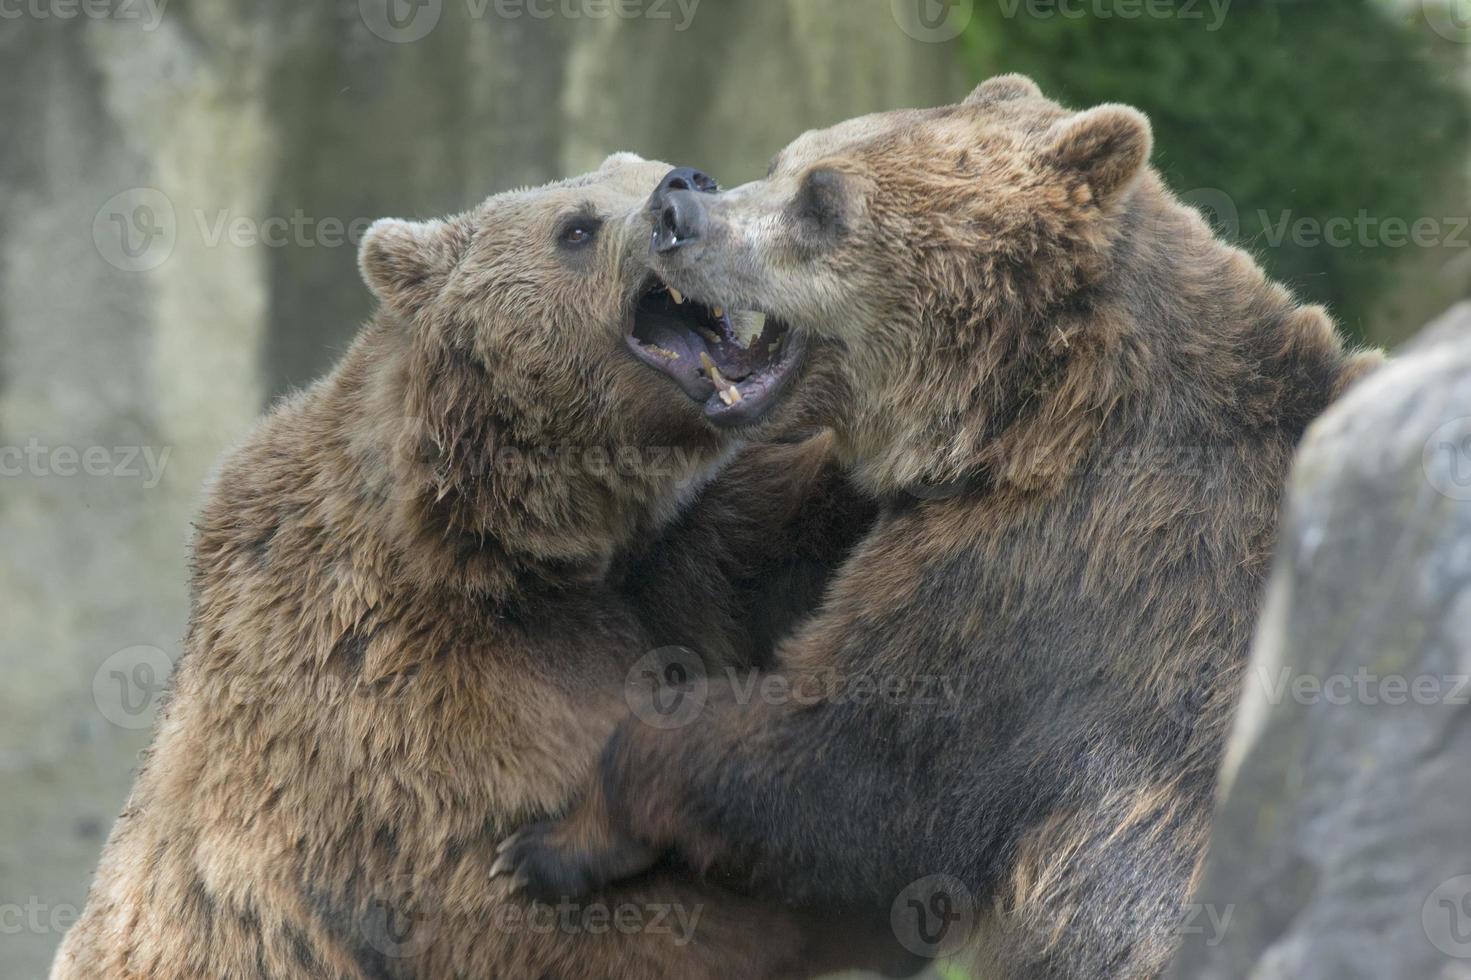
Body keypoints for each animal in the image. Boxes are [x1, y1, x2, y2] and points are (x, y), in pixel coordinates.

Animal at [51, 153, 882, 977]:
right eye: (576, 227)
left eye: (639, 164)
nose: (682, 185)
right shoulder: (405, 689)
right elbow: (522, 902)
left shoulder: (677, 557)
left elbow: (781, 557)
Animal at [488, 78, 1382, 977]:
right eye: (783, 160)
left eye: (823, 202)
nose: (677, 210)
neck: (1020, 418)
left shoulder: (1048, 587)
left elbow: (846, 763)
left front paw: (552, 843)